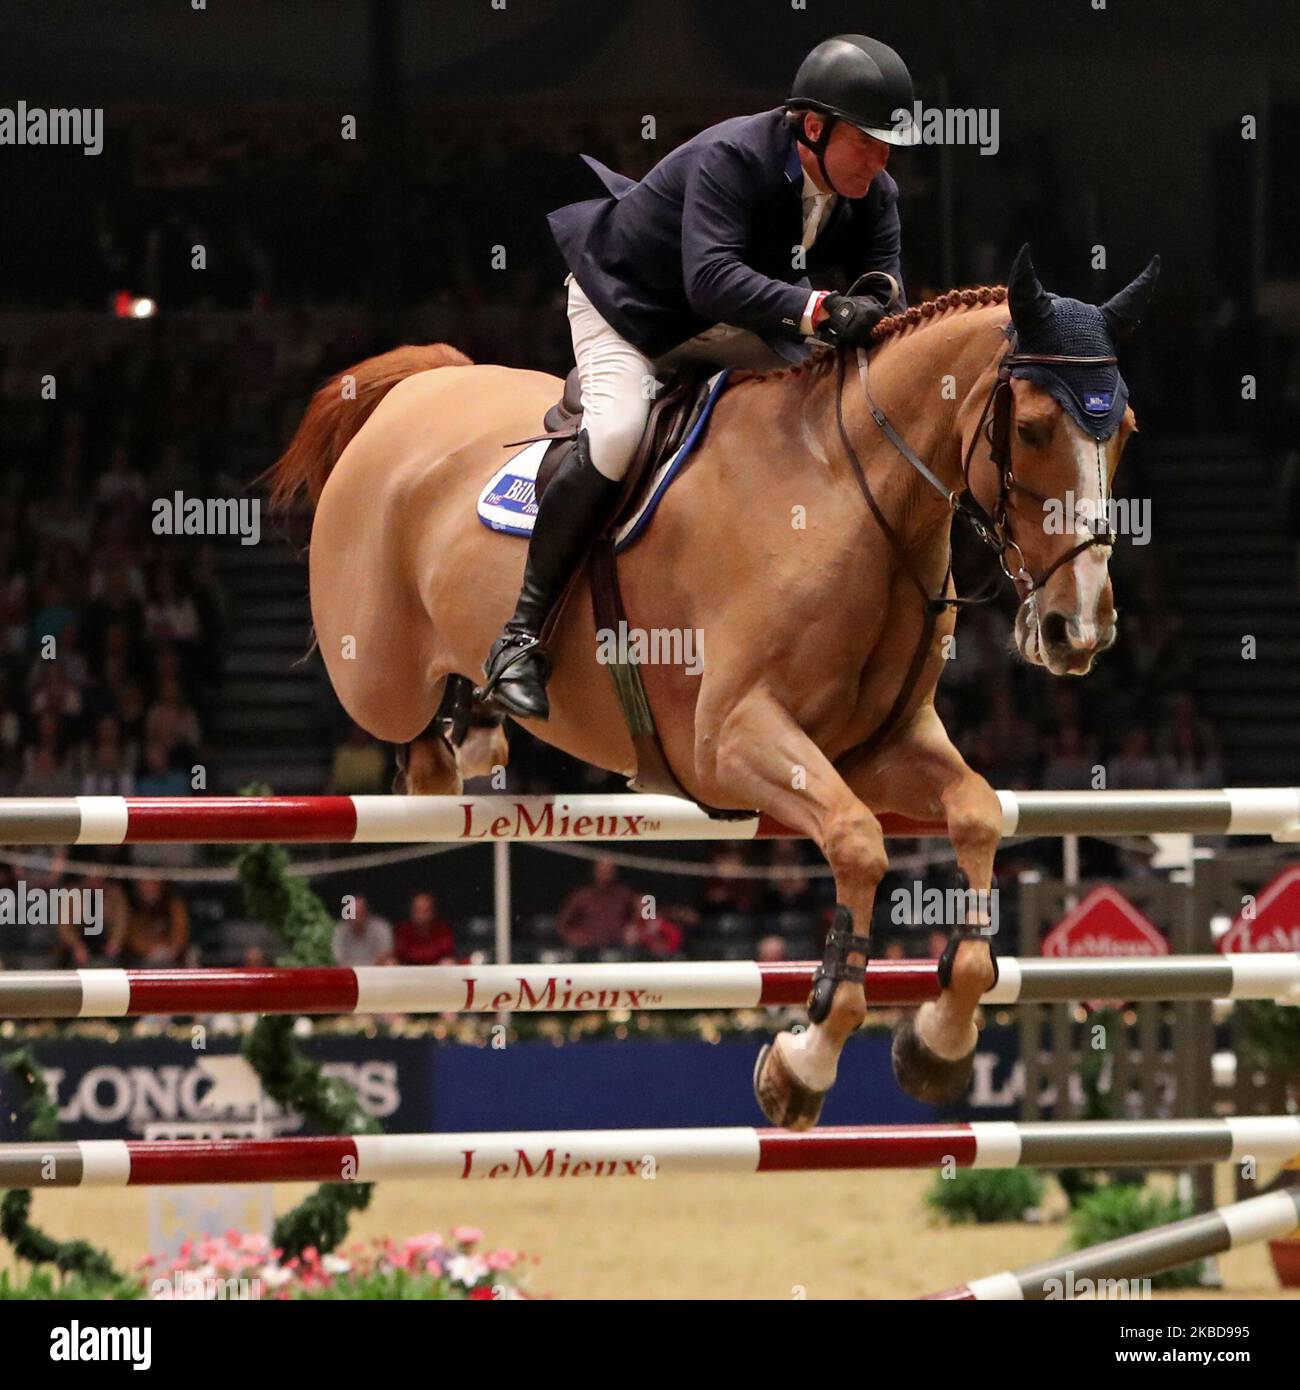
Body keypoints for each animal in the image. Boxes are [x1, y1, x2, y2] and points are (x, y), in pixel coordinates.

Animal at [272, 250, 1156, 1128]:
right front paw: (804, 1061)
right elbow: (858, 842)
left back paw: (485, 719)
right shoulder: (732, 741)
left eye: (1125, 436)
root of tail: (424, 385)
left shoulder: (877, 746)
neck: (851, 496)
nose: (1078, 629)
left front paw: (936, 1041)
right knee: (400, 720)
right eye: (1033, 429)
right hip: (376, 671)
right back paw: (458, 736)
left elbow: (974, 813)